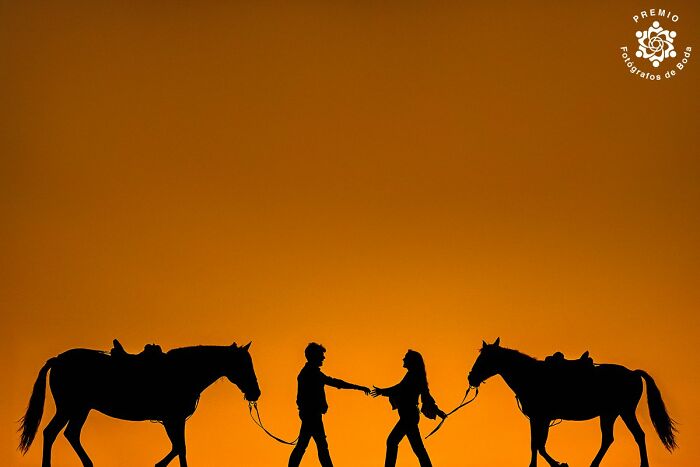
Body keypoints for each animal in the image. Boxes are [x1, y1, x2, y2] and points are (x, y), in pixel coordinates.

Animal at [19, 340, 262, 467]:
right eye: (244, 364)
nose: (256, 392)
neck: (183, 371)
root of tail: (58, 359)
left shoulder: (176, 420)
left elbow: (181, 449)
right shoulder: (172, 419)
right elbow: (179, 448)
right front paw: (159, 465)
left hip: (80, 409)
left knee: (70, 434)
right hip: (70, 407)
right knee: (51, 432)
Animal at [468, 340, 676, 467]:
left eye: (484, 358)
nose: (471, 378)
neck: (531, 376)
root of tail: (633, 373)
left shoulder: (541, 417)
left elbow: (539, 445)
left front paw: (559, 464)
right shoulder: (536, 418)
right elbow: (535, 444)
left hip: (624, 411)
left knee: (635, 436)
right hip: (611, 413)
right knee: (612, 438)